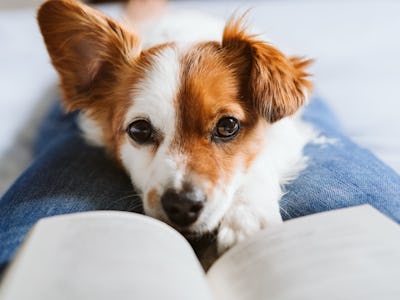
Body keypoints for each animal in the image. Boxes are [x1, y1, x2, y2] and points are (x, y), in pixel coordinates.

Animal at [37, 0, 314, 253]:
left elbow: (260, 163)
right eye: (139, 131)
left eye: (228, 126)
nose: (182, 205)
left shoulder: (288, 134)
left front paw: (247, 217)